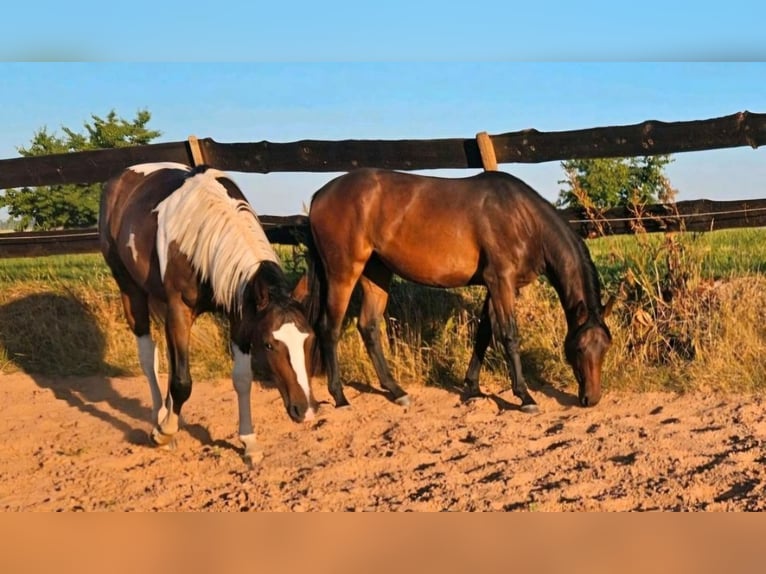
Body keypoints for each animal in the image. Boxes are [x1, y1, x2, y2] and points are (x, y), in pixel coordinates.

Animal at [99, 162, 318, 465]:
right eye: (269, 345)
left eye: (310, 339)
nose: (305, 410)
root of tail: (120, 178)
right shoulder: (179, 310)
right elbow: (182, 382)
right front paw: (163, 432)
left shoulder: (242, 315)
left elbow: (242, 379)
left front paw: (249, 443)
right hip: (131, 291)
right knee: (148, 357)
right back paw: (159, 421)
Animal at [303, 167, 612, 413]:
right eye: (579, 348)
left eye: (605, 347)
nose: (592, 398)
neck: (522, 217)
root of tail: (320, 195)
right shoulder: (501, 280)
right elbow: (509, 336)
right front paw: (525, 397)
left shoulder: (496, 285)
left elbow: (484, 333)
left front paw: (472, 387)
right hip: (343, 273)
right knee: (329, 329)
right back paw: (340, 397)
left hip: (376, 272)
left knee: (368, 327)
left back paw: (397, 392)